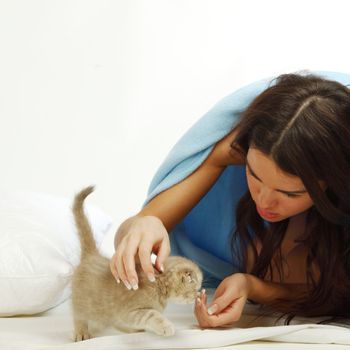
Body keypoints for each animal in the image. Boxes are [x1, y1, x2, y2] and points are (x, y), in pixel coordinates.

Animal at [71, 187, 202, 340]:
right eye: (196, 288)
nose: (198, 296)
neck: (159, 283)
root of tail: (91, 255)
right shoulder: (129, 311)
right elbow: (151, 314)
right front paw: (166, 327)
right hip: (82, 303)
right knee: (79, 316)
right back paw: (81, 332)